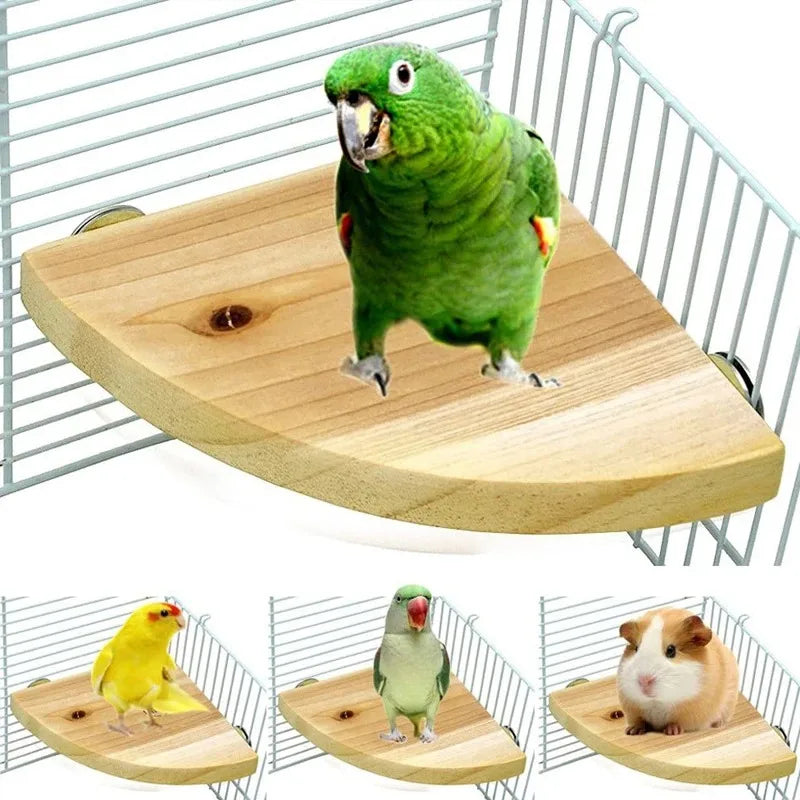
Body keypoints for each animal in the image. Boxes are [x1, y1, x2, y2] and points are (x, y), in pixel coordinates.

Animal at [617, 607, 738, 736]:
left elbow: (677, 723)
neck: (657, 702)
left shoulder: (690, 713)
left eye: (671, 650)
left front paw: (672, 731)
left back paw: (719, 725)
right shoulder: (633, 708)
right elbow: (639, 721)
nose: (644, 680)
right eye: (636, 649)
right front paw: (632, 731)